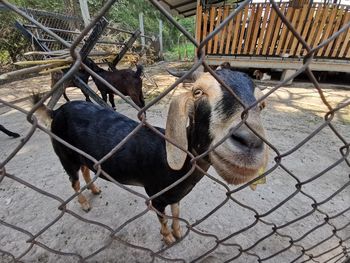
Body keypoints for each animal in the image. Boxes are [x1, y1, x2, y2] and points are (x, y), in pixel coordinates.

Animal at [33, 68, 268, 245]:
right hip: (64, 154)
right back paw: (84, 204)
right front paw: (168, 238)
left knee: (84, 169)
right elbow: (162, 219)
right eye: (198, 92)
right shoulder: (155, 195)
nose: (250, 142)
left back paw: (94, 189)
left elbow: (176, 212)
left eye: (262, 104)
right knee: (73, 180)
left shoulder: (174, 195)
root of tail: (57, 112)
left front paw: (178, 232)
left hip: (81, 156)